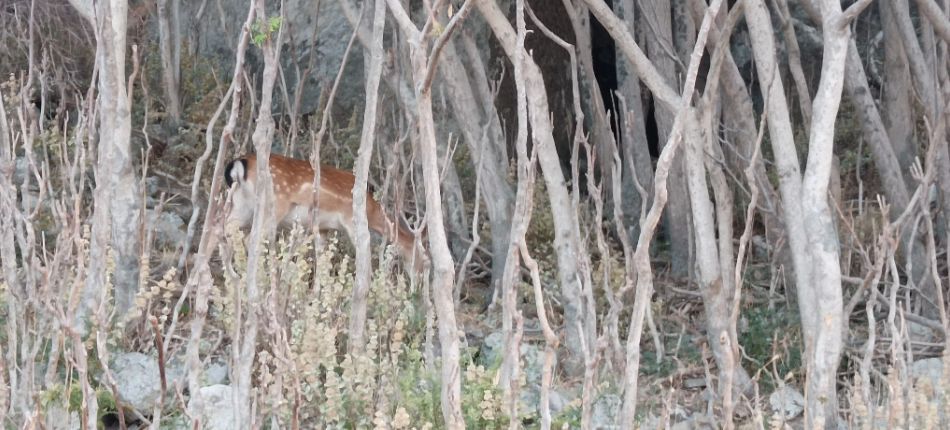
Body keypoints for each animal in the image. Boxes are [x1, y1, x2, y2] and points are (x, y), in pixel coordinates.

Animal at [223, 154, 428, 272]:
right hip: (272, 206)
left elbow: (321, 260)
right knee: (249, 239)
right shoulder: (350, 220)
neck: (371, 210)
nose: (417, 284)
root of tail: (240, 167)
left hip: (241, 206)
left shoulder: (323, 228)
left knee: (222, 231)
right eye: (425, 259)